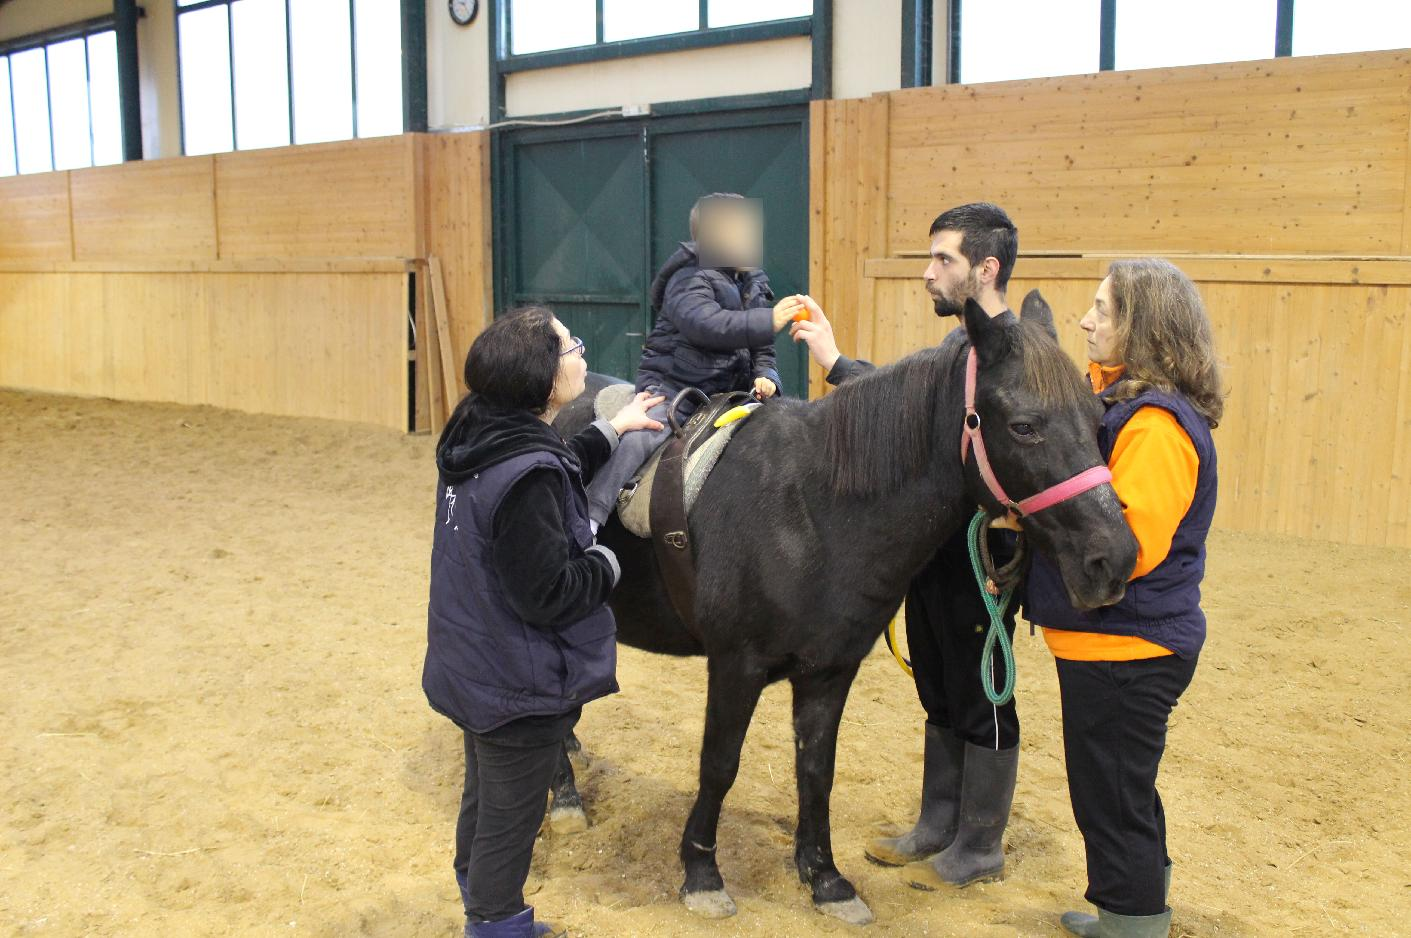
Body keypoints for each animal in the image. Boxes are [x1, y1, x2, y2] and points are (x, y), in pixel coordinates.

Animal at [547, 293, 1134, 919]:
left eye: (1096, 419)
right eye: (1024, 427)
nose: (1115, 558)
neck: (809, 512)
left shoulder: (829, 671)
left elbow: (816, 770)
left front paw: (824, 877)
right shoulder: (735, 666)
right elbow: (720, 764)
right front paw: (702, 873)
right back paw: (564, 798)